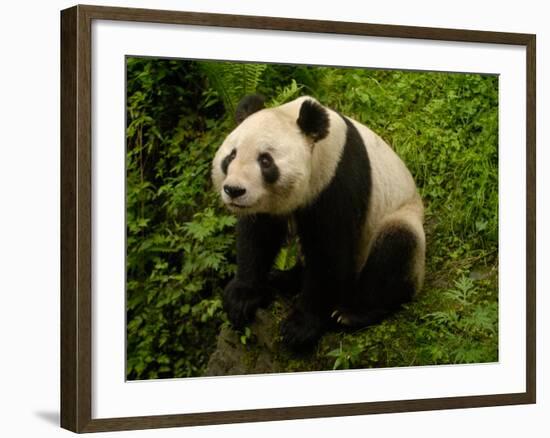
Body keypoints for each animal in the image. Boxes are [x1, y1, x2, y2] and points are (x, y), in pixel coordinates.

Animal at [211, 94, 426, 350]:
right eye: (231, 155)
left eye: (265, 161)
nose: (234, 190)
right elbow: (257, 236)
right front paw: (241, 299)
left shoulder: (336, 179)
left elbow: (330, 252)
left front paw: (300, 328)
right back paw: (283, 278)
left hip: (400, 218)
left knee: (396, 248)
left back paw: (352, 313)